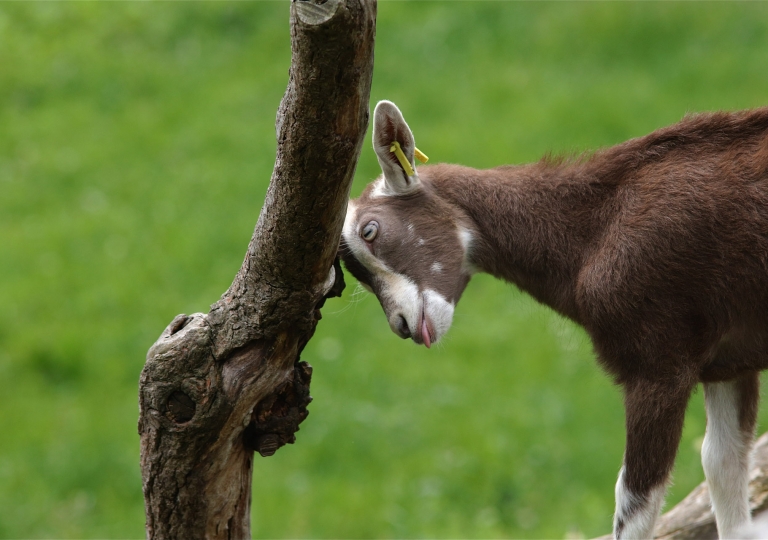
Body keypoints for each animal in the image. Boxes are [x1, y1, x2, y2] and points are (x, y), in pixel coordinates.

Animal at [342, 101, 768, 540]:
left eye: (370, 230)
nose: (401, 325)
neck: (594, 233)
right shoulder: (727, 362)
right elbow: (722, 467)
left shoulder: (658, 363)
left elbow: (635, 500)